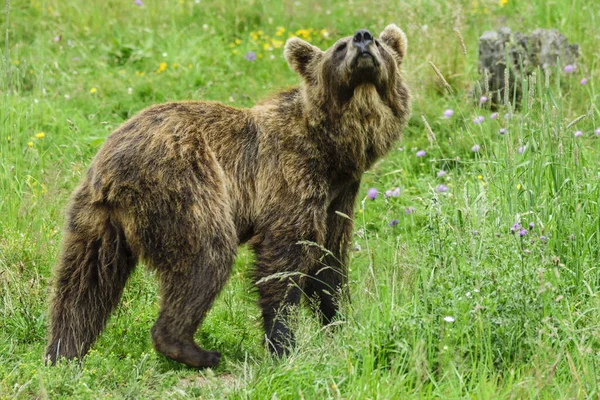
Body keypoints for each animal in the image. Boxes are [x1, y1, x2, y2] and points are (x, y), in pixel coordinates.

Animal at [47, 25, 410, 368]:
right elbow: (284, 257)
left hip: (95, 220)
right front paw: (283, 342)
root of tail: (109, 164)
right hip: (184, 179)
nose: (363, 37)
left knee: (85, 283)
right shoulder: (290, 177)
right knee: (206, 254)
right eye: (339, 46)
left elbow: (329, 260)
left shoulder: (339, 195)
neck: (333, 150)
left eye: (379, 42)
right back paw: (195, 350)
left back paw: (63, 352)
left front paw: (340, 322)